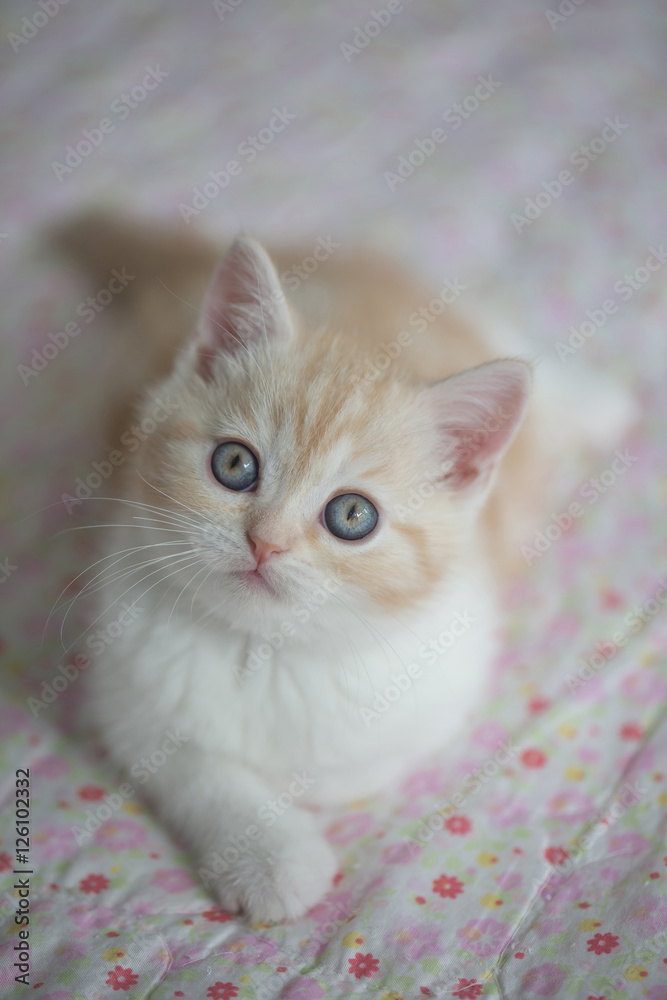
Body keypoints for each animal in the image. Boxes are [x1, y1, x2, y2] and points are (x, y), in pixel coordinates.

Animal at [54, 213, 636, 920]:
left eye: (352, 515)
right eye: (234, 464)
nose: (265, 542)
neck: (267, 654)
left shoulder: (441, 688)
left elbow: (347, 770)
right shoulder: (126, 694)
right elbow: (197, 770)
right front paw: (273, 857)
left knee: (509, 337)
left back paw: (594, 399)